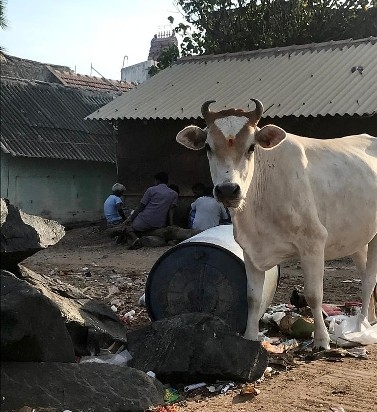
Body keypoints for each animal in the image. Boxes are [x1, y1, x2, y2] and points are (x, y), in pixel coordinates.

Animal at [176, 99, 376, 348]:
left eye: (252, 147)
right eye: (208, 147)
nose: (228, 190)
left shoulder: (313, 242)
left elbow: (314, 294)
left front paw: (321, 340)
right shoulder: (249, 249)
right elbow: (253, 296)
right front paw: (250, 336)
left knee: (369, 280)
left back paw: (361, 325)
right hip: (357, 238)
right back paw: (369, 321)